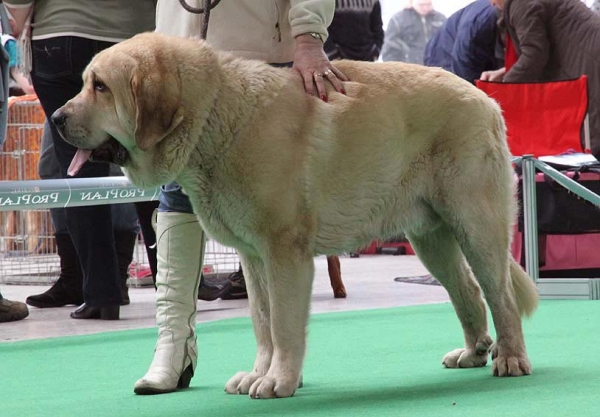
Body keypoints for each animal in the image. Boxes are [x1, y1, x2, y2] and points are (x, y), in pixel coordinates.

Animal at [52, 31, 540, 396]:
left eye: (100, 86)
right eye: (86, 83)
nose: (56, 117)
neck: (215, 116)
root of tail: (485, 99)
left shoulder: (285, 252)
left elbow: (285, 324)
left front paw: (279, 381)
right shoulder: (254, 258)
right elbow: (262, 321)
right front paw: (260, 372)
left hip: (476, 226)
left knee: (499, 294)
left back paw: (512, 358)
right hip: (431, 239)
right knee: (468, 292)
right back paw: (474, 352)